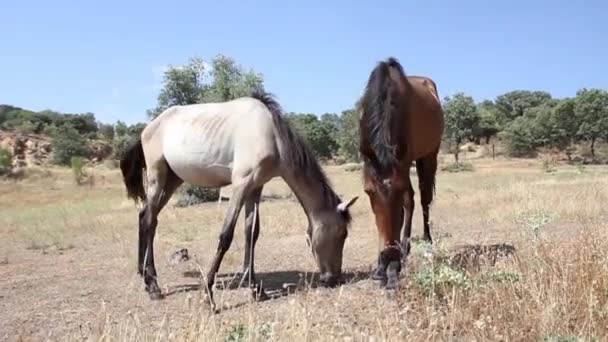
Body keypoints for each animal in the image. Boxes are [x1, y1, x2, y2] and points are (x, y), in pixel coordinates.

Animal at [119, 89, 356, 310]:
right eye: (342, 234)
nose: (333, 279)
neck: (271, 135)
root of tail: (148, 128)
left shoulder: (255, 187)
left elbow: (252, 233)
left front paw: (256, 289)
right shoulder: (241, 185)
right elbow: (226, 235)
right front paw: (208, 295)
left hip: (172, 180)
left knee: (147, 217)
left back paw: (144, 275)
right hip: (157, 178)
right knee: (148, 219)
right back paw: (153, 286)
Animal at [356, 57, 446, 290]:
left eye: (397, 190)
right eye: (368, 192)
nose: (388, 257)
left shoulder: (404, 167)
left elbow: (408, 202)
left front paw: (397, 257)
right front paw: (380, 266)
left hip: (429, 156)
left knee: (422, 199)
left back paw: (422, 239)